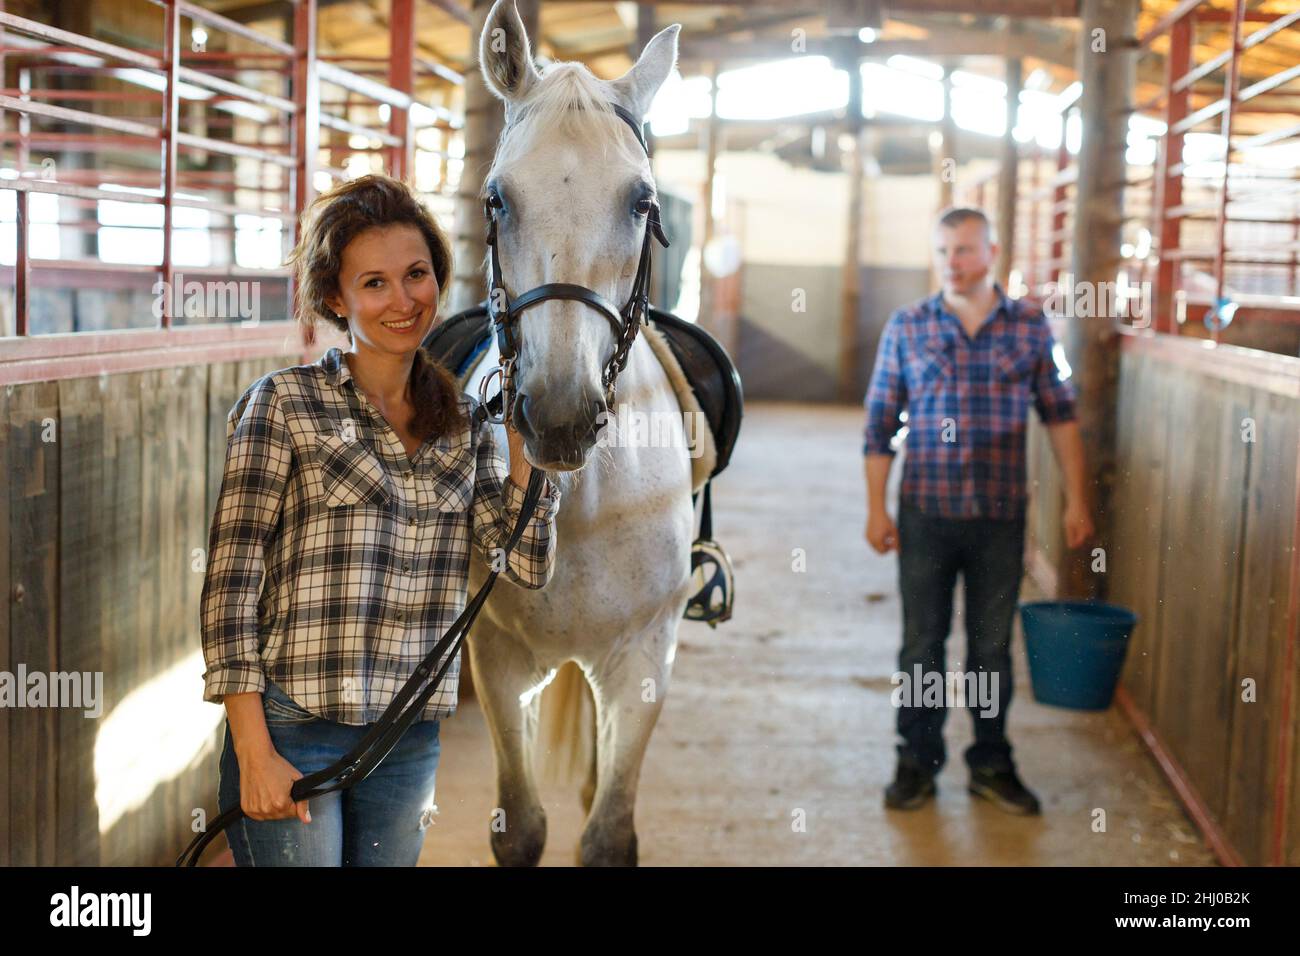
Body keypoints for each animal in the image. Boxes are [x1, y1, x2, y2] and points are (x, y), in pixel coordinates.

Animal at [462, 0, 696, 868]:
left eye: (641, 203)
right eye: (497, 199)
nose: (557, 417)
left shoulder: (644, 662)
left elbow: (607, 832)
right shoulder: (496, 662)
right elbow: (521, 826)